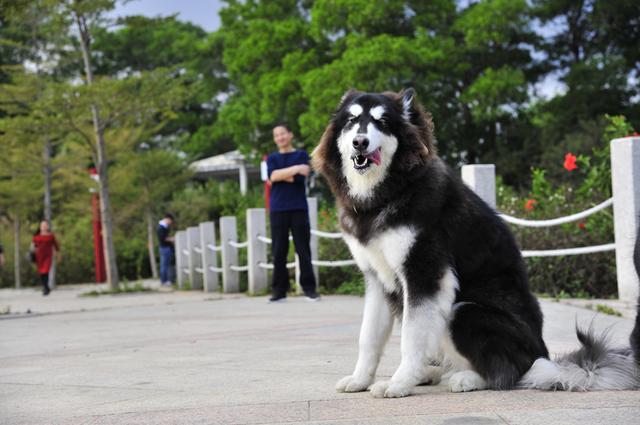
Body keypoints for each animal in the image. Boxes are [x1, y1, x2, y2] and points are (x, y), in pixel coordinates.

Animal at [314, 88, 640, 396]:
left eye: (382, 122)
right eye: (352, 121)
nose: (360, 143)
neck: (392, 189)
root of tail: (541, 356)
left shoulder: (424, 273)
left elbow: (411, 337)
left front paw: (399, 383)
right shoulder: (377, 277)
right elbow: (368, 337)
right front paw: (360, 380)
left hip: (465, 313)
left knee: (509, 373)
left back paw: (466, 379)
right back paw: (432, 373)